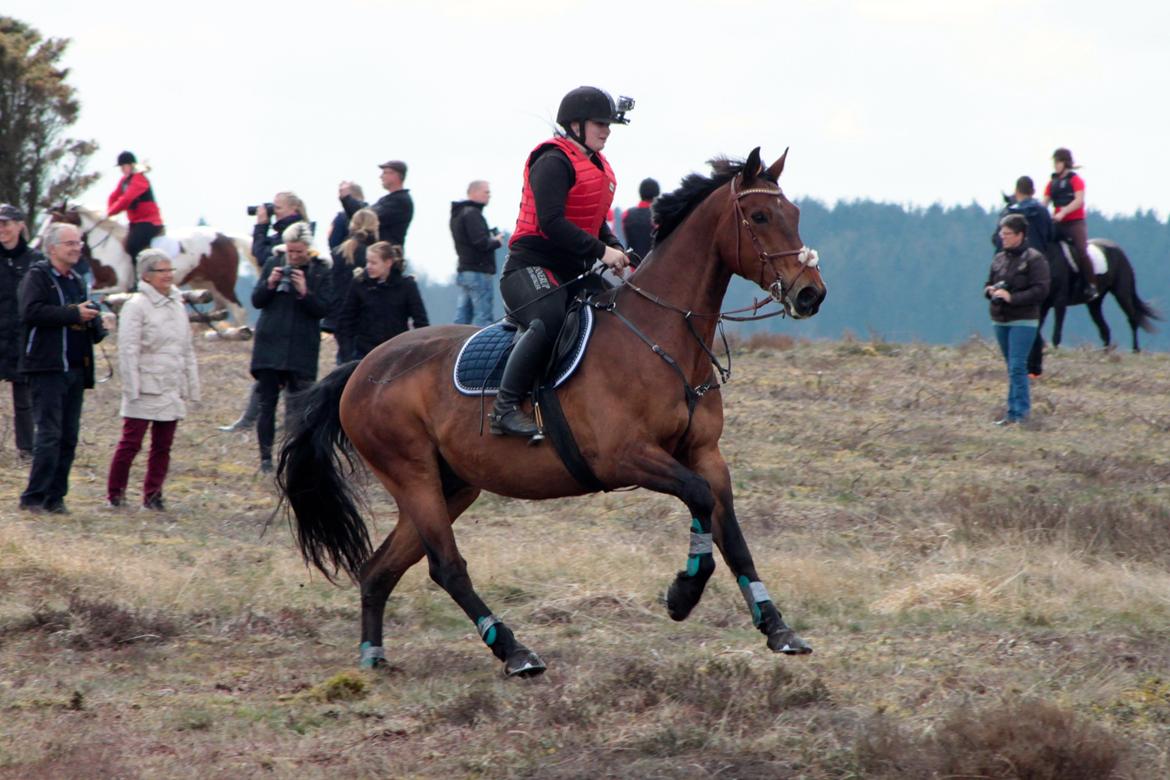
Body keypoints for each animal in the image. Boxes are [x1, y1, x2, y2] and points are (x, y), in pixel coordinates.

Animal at [44, 205, 259, 325]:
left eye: (56, 220)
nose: (43, 244)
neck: (106, 246)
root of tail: (226, 237)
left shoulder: (118, 286)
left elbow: (98, 294)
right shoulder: (107, 286)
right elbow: (102, 297)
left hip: (223, 283)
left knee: (238, 310)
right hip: (205, 283)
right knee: (220, 310)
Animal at [278, 146, 828, 678]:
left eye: (795, 213)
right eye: (759, 215)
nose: (811, 293)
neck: (663, 337)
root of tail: (361, 368)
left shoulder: (706, 454)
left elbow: (731, 533)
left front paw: (777, 629)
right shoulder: (624, 457)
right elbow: (697, 500)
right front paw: (683, 593)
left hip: (450, 485)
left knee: (379, 569)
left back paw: (373, 656)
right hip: (412, 476)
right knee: (446, 566)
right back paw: (514, 652)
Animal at [1029, 236, 1155, 376]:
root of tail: (1119, 250)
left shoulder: (1059, 302)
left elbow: (1056, 332)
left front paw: (1054, 352)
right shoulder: (1042, 305)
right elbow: (1036, 329)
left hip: (1122, 294)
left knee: (1133, 319)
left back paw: (1135, 350)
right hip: (1094, 304)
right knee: (1105, 329)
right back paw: (1105, 355)